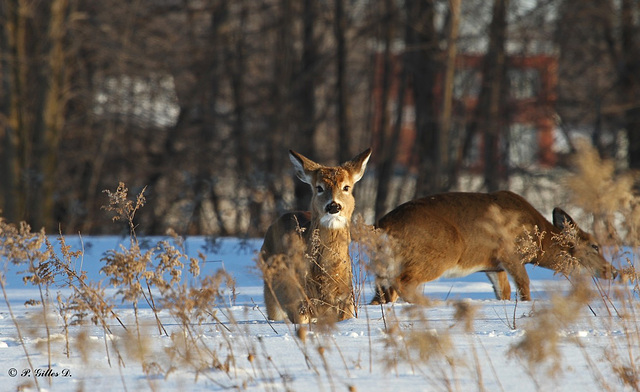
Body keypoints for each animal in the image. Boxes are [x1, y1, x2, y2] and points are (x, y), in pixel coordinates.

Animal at [258, 149, 372, 324]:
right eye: (319, 188)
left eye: (346, 187)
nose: (333, 206)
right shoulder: (299, 301)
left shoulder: (346, 300)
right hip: (271, 290)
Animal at [368, 190, 616, 304]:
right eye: (595, 246)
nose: (612, 271)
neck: (539, 242)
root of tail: (382, 226)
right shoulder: (510, 252)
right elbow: (524, 286)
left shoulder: (493, 266)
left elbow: (503, 292)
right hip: (441, 252)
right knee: (402, 282)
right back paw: (432, 304)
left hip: (384, 267)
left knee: (383, 294)